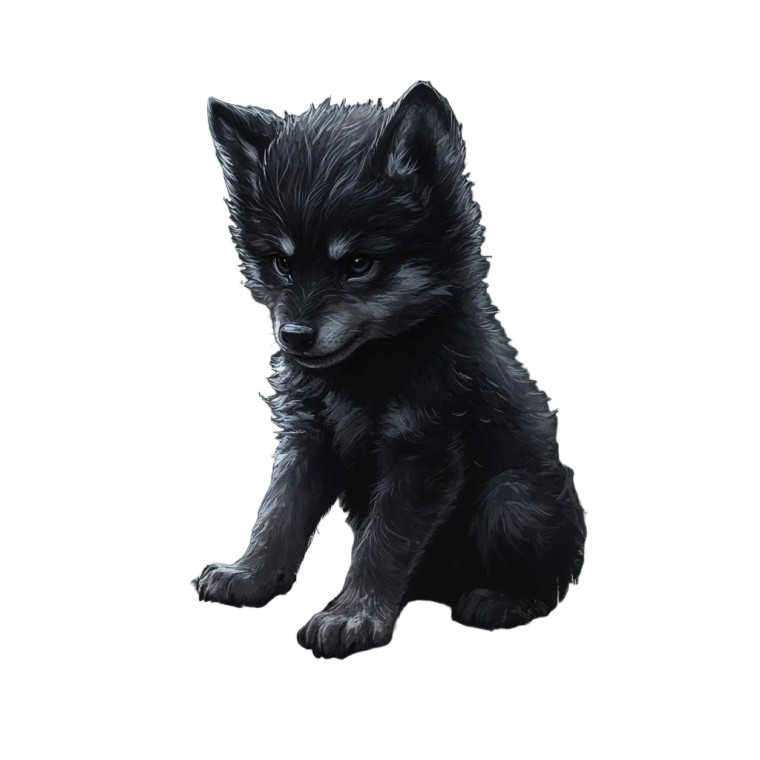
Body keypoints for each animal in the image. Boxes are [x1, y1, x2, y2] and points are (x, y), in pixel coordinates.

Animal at [193, 82, 586, 658]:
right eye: (282, 263)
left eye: (358, 264)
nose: (294, 337)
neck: (367, 367)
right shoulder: (306, 438)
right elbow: (277, 515)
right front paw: (250, 575)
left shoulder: (423, 452)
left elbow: (383, 545)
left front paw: (352, 616)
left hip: (512, 499)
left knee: (548, 580)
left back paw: (500, 601)